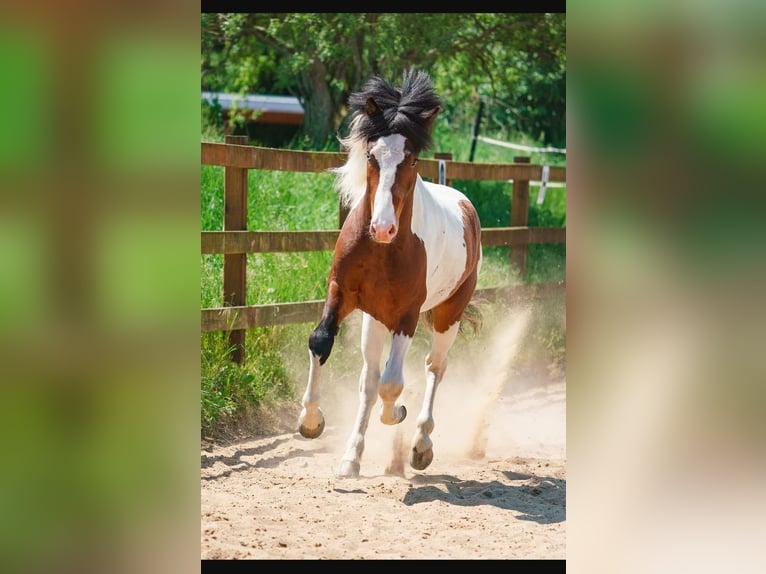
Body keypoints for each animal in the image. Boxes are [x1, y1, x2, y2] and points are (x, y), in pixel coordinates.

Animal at [296, 70, 484, 480]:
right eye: (371, 155)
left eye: (411, 159)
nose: (382, 228)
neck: (382, 251)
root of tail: (465, 204)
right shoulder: (341, 292)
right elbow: (321, 342)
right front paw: (311, 422)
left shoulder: (407, 316)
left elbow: (393, 384)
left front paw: (397, 414)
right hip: (375, 319)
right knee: (369, 380)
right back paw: (351, 458)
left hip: (447, 315)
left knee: (433, 368)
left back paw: (420, 446)